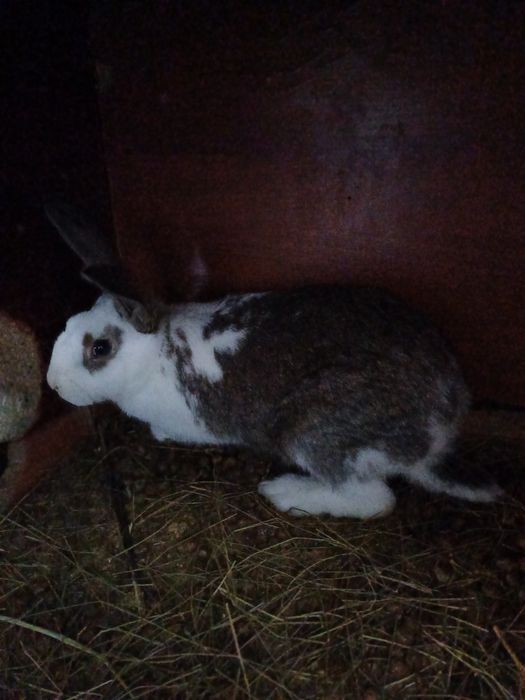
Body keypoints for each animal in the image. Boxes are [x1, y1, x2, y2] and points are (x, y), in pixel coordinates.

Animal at [45, 201, 501, 519]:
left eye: (99, 349)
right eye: (67, 323)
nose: (53, 383)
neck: (159, 352)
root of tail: (440, 429)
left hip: (314, 431)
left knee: (375, 499)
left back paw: (285, 492)